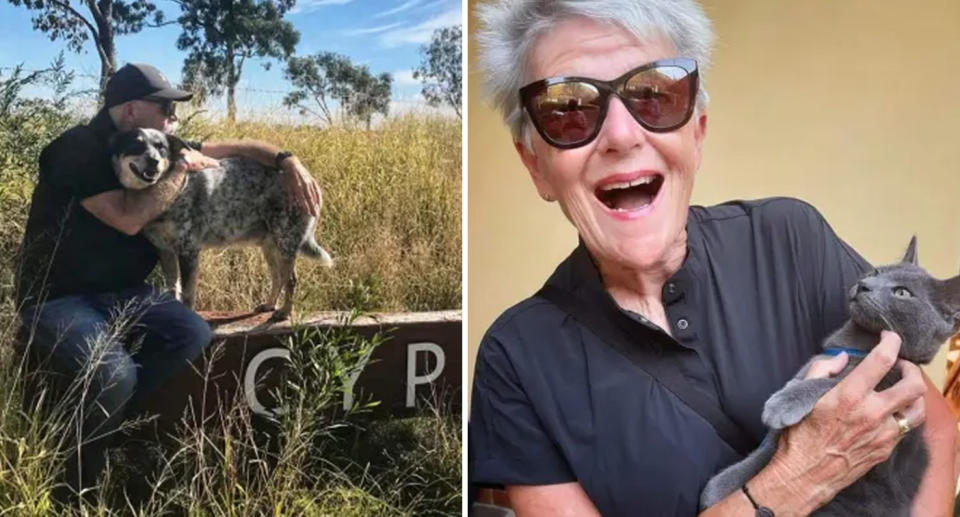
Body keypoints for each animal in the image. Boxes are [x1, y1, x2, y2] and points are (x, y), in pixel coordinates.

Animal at [108, 128, 332, 318]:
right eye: (136, 144)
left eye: (161, 147)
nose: (153, 161)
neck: (167, 194)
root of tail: (312, 182)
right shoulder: (165, 251)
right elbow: (173, 287)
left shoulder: (189, 250)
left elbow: (188, 293)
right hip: (270, 246)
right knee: (277, 277)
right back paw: (269, 305)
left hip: (285, 242)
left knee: (291, 280)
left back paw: (284, 312)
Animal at [696, 236, 960, 512]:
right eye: (875, 272)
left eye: (902, 292)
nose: (864, 285)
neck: (854, 345)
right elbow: (769, 445)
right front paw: (721, 486)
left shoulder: (886, 383)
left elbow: (830, 382)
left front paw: (783, 403)